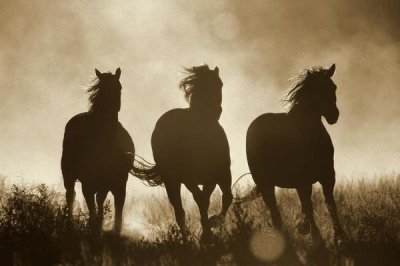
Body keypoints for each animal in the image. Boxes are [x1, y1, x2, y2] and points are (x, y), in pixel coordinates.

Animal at [60, 68, 134, 233]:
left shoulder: (120, 185)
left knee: (99, 200)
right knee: (70, 195)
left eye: (119, 87)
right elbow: (91, 211)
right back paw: (69, 226)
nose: (110, 109)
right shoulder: (88, 185)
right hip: (69, 176)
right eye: (102, 89)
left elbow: (117, 214)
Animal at [134, 64, 234, 239]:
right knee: (179, 212)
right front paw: (207, 233)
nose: (216, 111)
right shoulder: (188, 177)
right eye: (202, 86)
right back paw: (186, 240)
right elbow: (200, 200)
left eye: (220, 84)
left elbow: (225, 197)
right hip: (172, 181)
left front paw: (212, 225)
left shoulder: (220, 173)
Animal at [247, 64, 344, 243]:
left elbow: (329, 203)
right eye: (316, 89)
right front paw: (316, 237)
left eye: (333, 87)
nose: (333, 116)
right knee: (274, 211)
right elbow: (308, 206)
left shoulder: (327, 176)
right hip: (266, 184)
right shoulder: (302, 181)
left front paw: (339, 235)